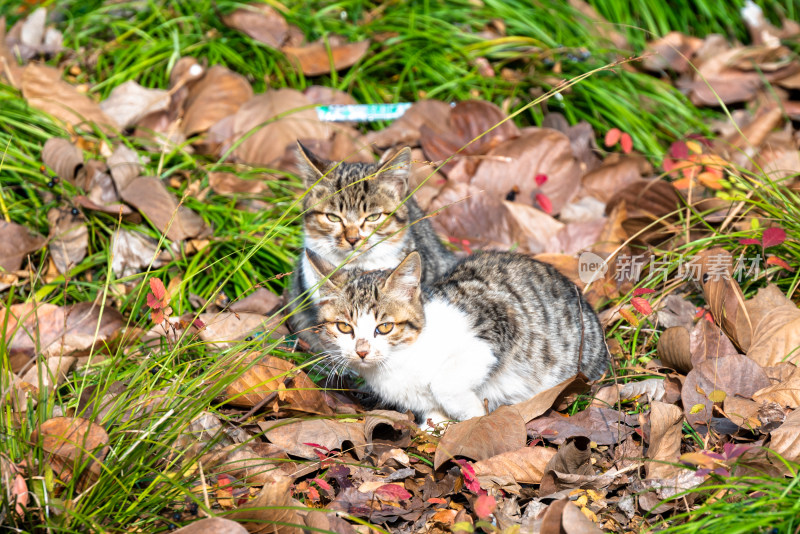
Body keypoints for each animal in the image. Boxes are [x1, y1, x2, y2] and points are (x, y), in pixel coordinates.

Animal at [306, 248, 608, 428]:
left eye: (385, 327)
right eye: (344, 327)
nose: (362, 351)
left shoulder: (500, 319)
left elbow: (445, 383)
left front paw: (474, 415)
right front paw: (436, 426)